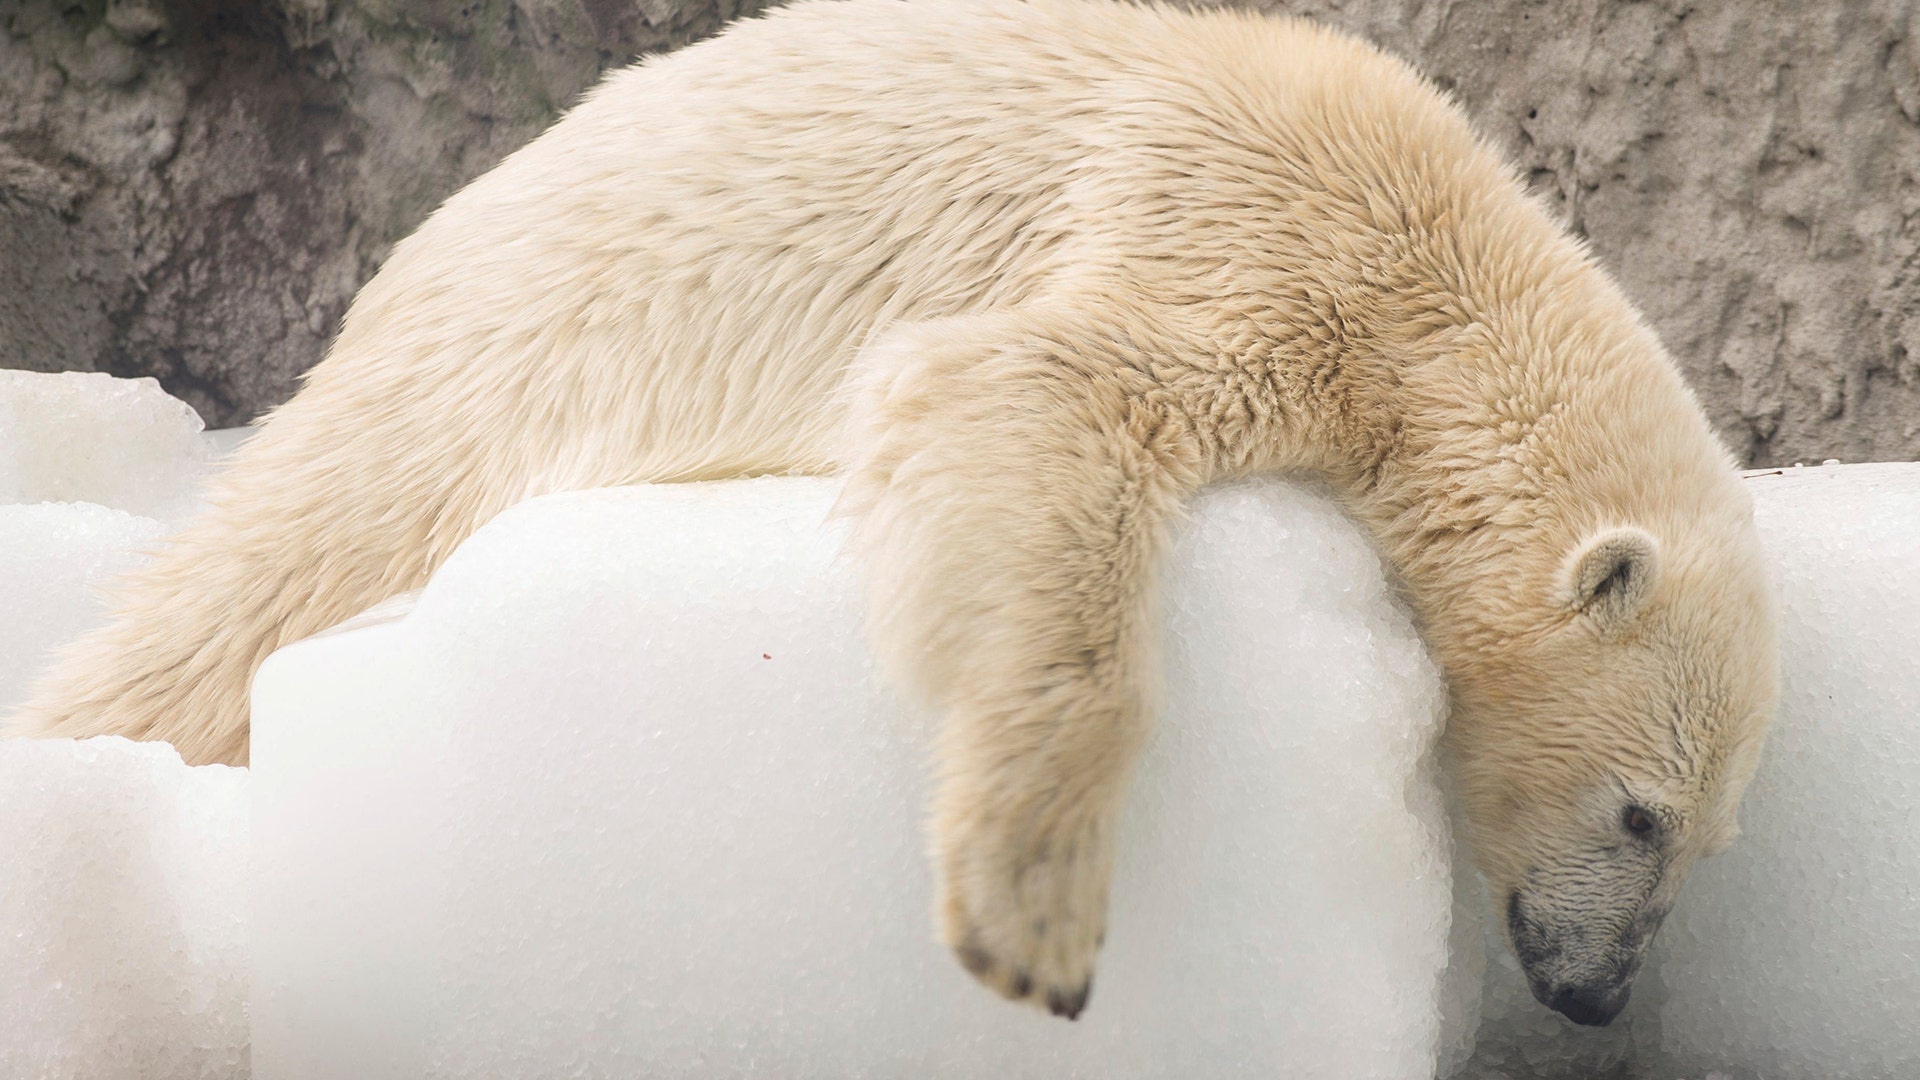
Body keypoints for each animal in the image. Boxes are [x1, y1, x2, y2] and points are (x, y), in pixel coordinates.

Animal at [8, 0, 1777, 1026]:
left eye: (1710, 837)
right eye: (1643, 814)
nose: (1600, 996)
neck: (1449, 267)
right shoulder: (1242, 234)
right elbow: (1024, 394)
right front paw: (1033, 917)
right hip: (471, 380)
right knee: (253, 585)